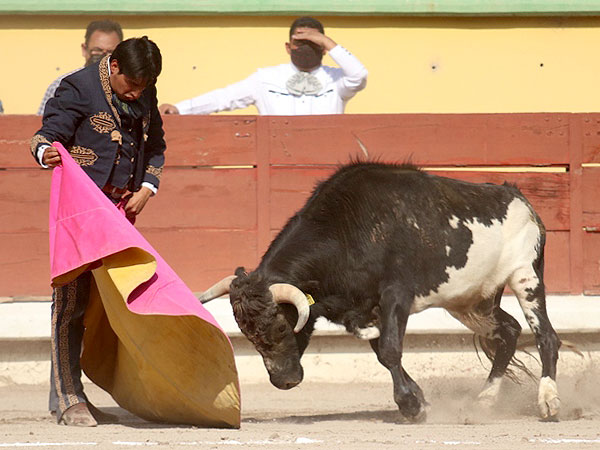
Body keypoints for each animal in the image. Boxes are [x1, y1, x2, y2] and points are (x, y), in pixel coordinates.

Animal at [202, 162, 564, 422]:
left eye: (280, 327)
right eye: (248, 335)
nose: (284, 381)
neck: (348, 230)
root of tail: (522, 201)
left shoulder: (395, 296)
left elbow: (390, 350)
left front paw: (411, 407)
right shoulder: (366, 309)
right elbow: (382, 353)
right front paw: (417, 401)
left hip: (526, 276)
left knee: (545, 335)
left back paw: (548, 402)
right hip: (472, 300)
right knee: (509, 332)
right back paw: (484, 402)